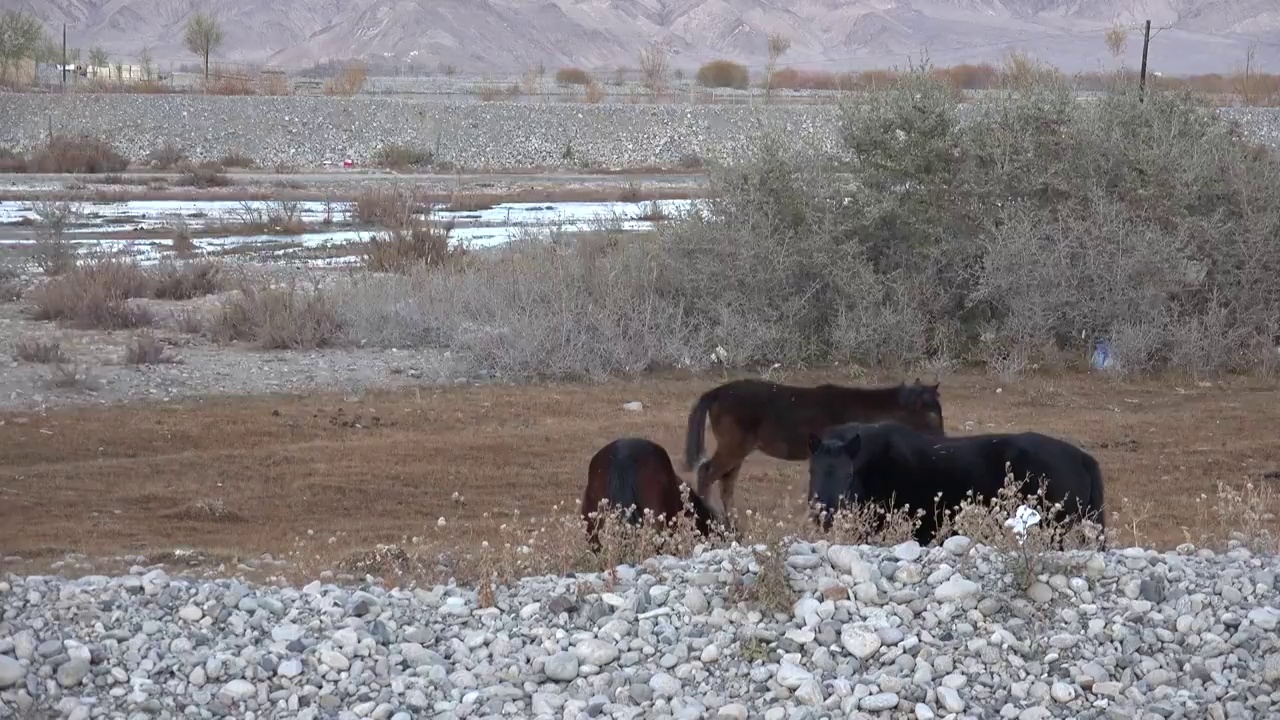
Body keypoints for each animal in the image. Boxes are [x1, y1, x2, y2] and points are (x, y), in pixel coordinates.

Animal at [686, 379, 947, 525]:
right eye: (932, 414)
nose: (942, 439)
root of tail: (716, 393)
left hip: (738, 450)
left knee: (726, 483)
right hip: (733, 446)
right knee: (706, 473)